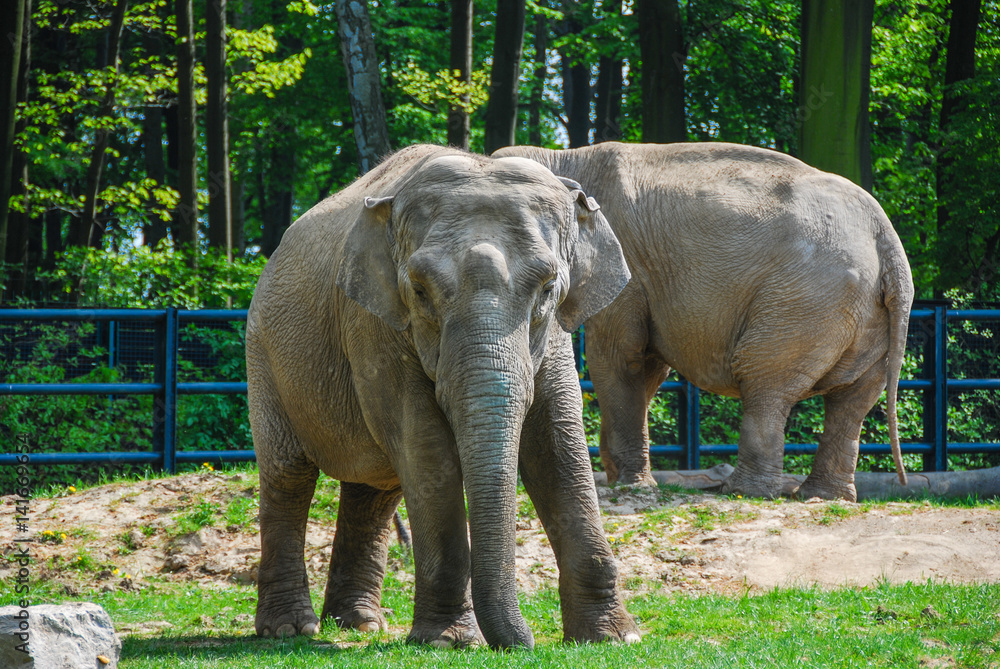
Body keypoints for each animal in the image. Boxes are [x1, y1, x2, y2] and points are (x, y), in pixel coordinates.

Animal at [247, 145, 644, 648]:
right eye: (419, 292)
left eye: (548, 289)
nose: (524, 643)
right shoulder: (373, 324)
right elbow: (426, 447)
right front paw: (448, 641)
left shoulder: (554, 334)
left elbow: (557, 444)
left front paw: (613, 637)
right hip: (263, 354)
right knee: (288, 475)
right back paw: (288, 629)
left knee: (374, 491)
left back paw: (359, 623)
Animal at [492, 144, 916, 504]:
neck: (564, 156)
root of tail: (887, 239)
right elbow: (648, 368)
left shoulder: (627, 265)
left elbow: (620, 356)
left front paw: (630, 486)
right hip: (869, 313)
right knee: (854, 400)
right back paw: (822, 497)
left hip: (805, 299)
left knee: (766, 381)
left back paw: (743, 492)